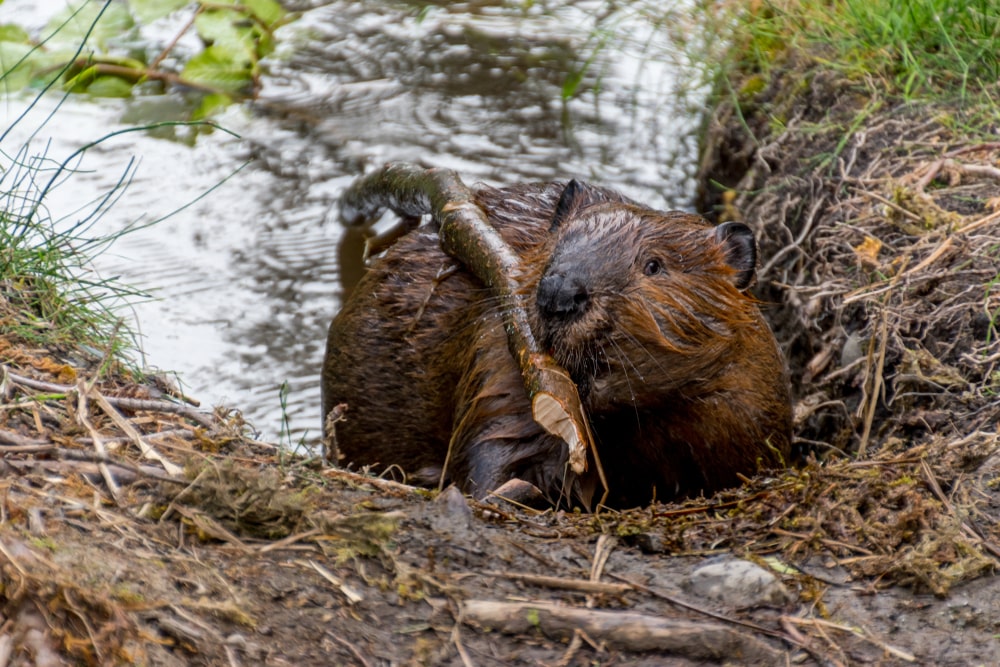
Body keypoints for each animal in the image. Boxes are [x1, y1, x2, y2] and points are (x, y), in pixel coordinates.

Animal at [324, 177, 792, 506]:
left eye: (654, 265)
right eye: (557, 245)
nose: (559, 293)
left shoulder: (745, 397)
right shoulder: (496, 357)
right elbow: (495, 446)